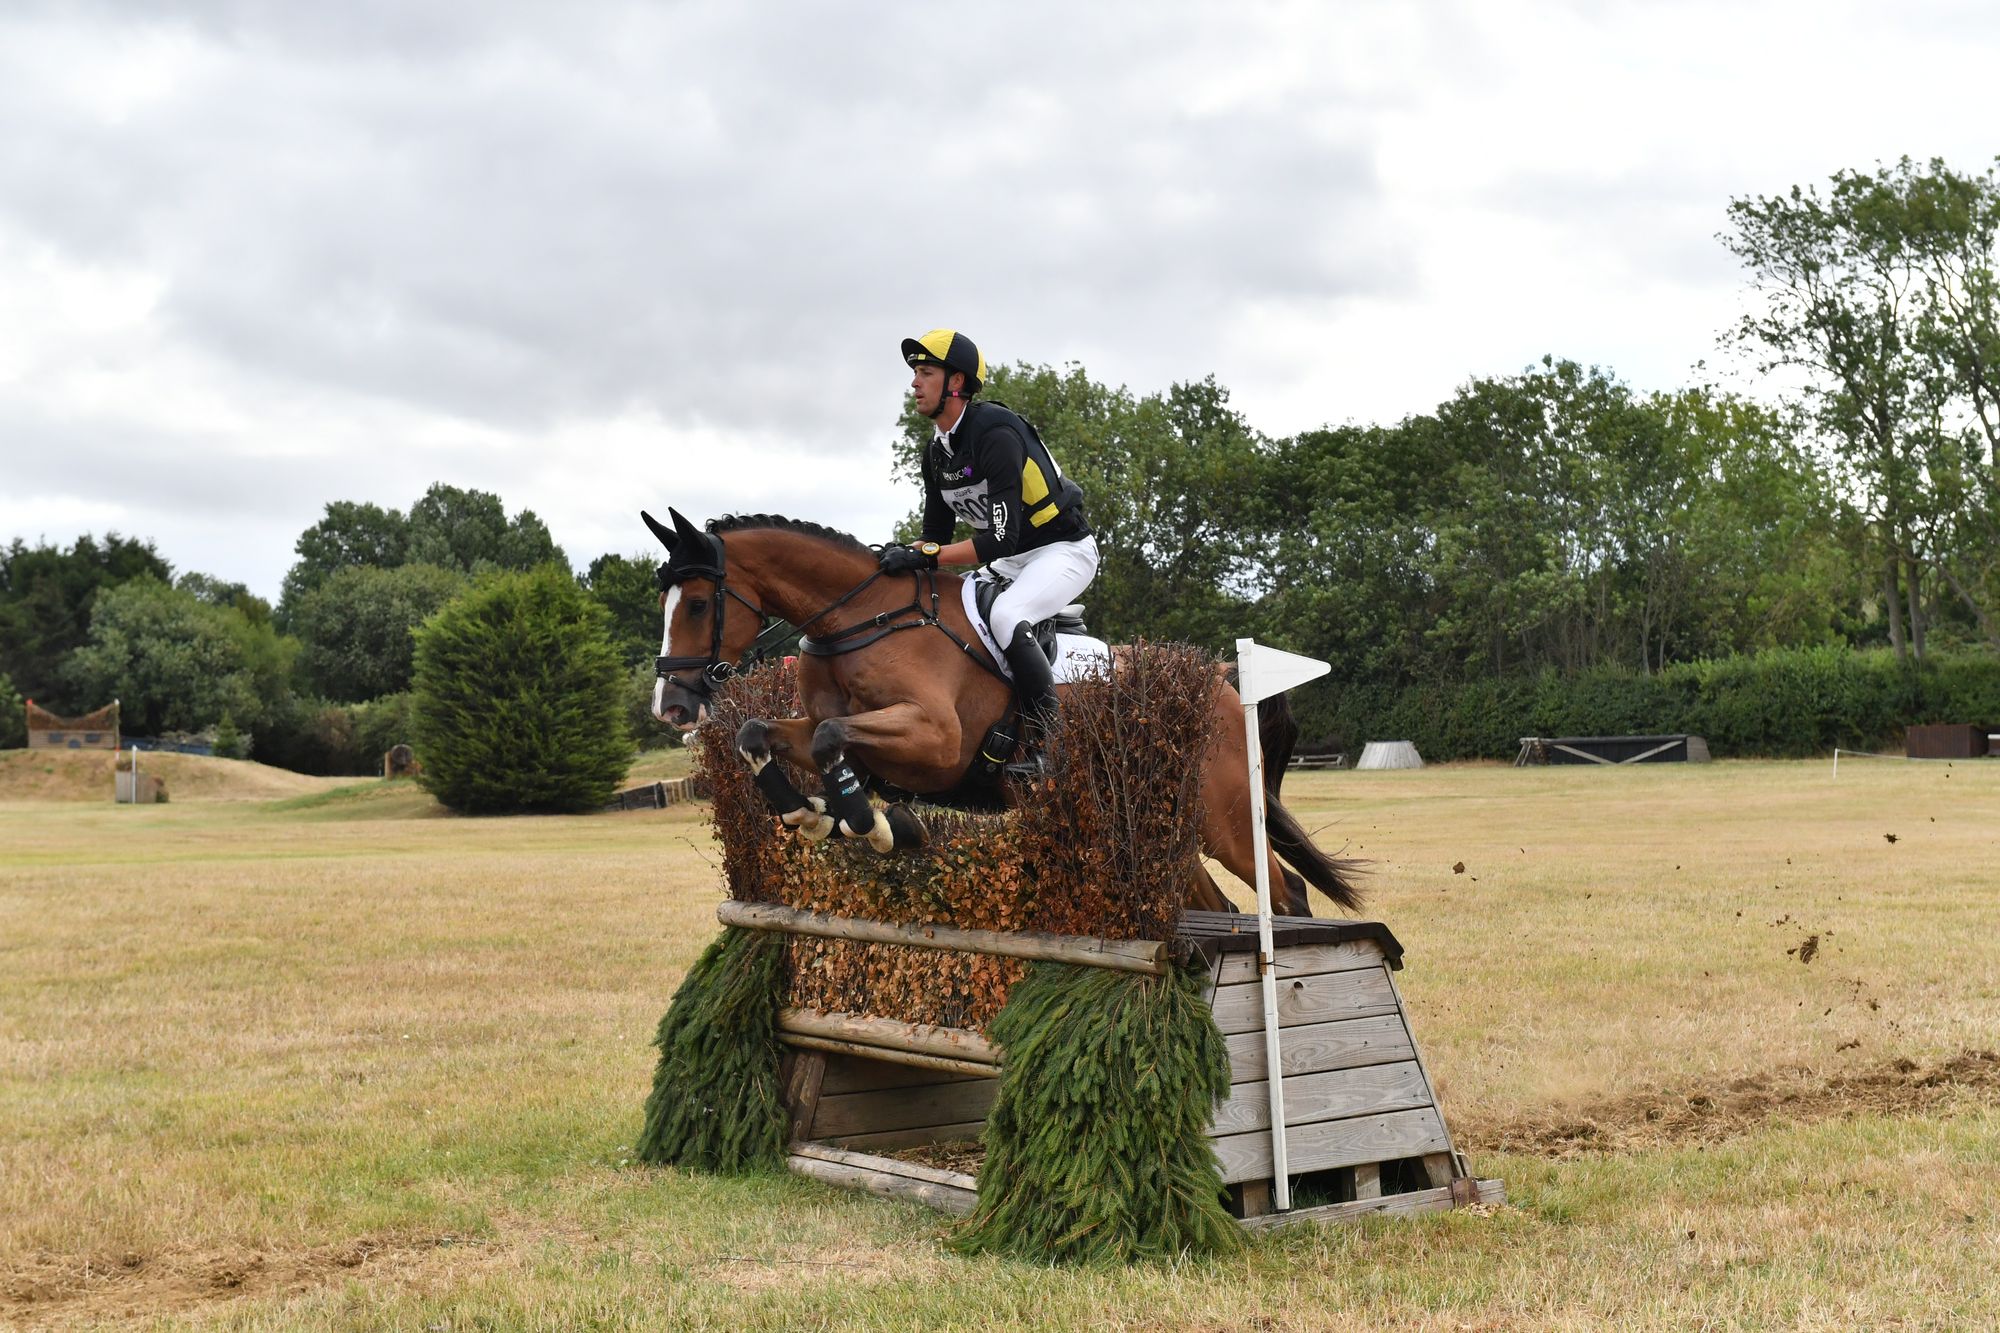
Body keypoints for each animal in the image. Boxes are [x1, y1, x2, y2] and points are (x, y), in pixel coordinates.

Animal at [643, 508, 1360, 916]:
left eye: (700, 604)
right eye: (664, 604)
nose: (671, 706)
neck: (859, 619)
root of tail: (1218, 679)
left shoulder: (936, 742)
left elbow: (829, 737)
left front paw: (869, 824)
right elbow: (760, 731)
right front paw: (809, 811)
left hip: (1221, 815)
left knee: (1284, 892)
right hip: (1151, 821)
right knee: (1214, 903)